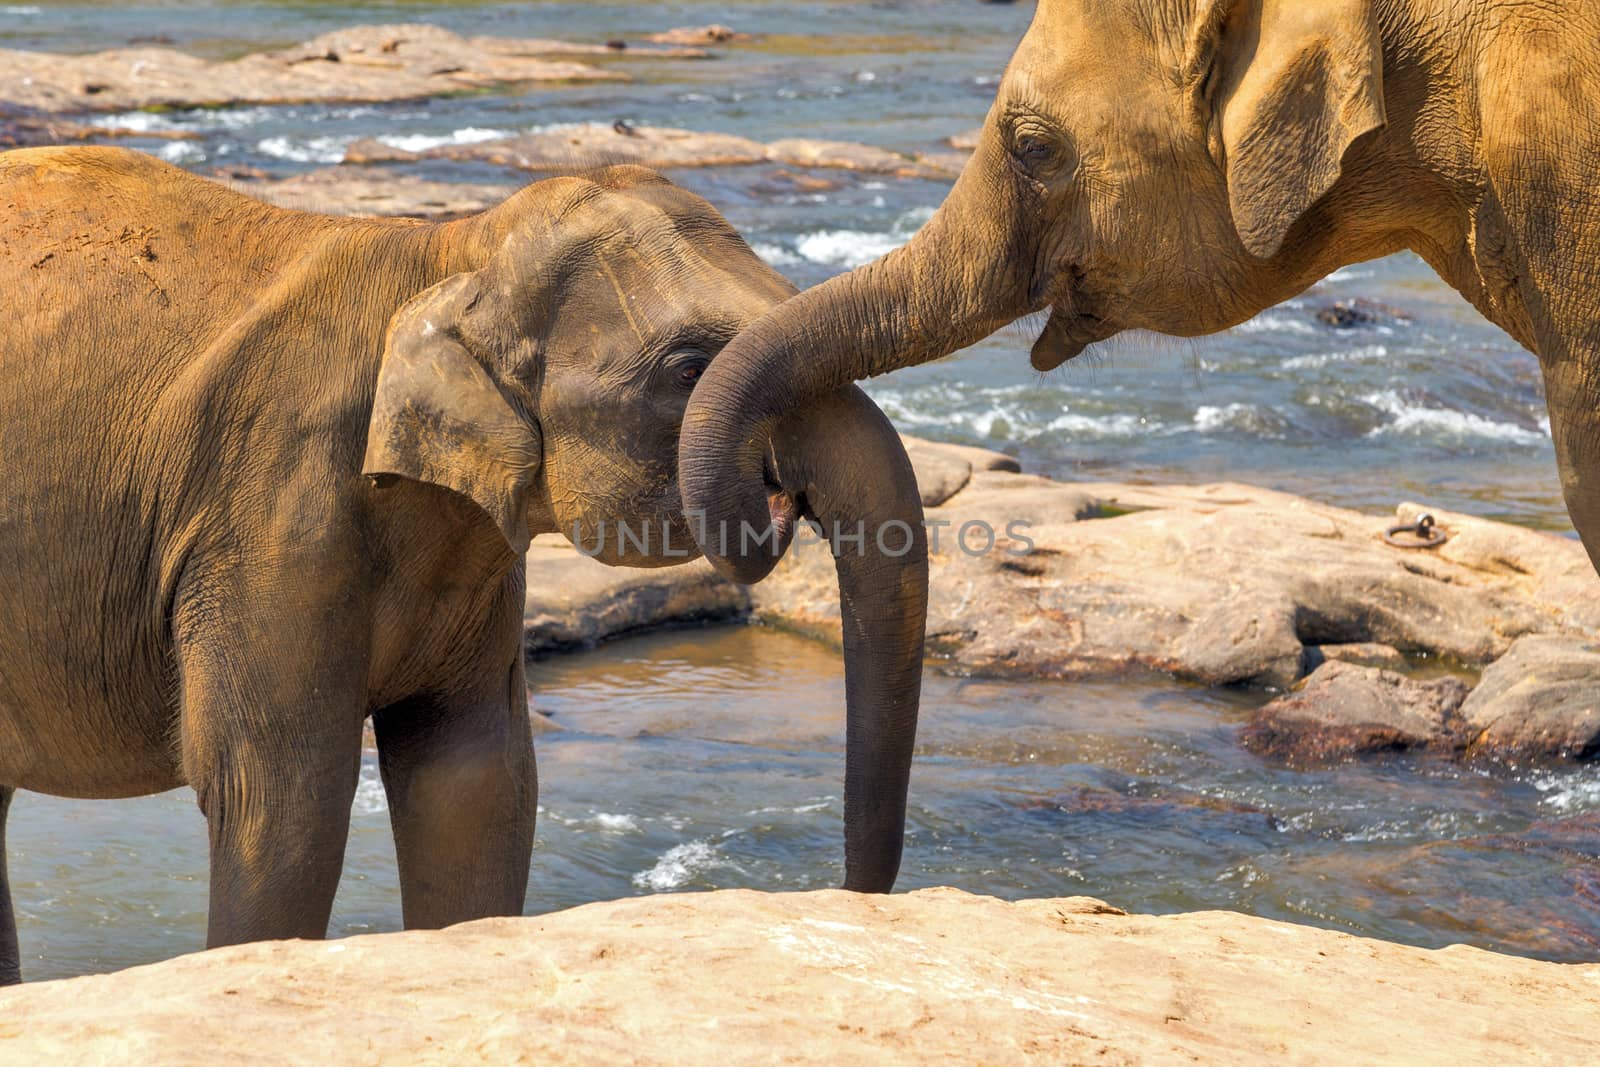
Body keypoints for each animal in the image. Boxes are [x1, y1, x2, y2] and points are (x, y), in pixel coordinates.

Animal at [0, 147, 928, 985]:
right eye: (689, 369)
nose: (853, 900)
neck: (449, 252)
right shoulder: (267, 504)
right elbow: (277, 793)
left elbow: (473, 779)